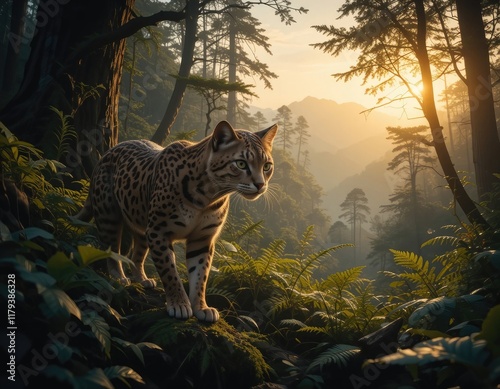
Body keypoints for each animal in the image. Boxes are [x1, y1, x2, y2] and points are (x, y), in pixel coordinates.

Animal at [79, 121, 278, 322]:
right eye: (241, 164)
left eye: (267, 166)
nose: (260, 185)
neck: (208, 195)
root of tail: (107, 153)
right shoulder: (159, 231)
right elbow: (169, 271)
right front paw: (179, 304)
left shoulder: (202, 239)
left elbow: (200, 276)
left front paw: (201, 307)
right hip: (108, 215)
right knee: (112, 249)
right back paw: (119, 277)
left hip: (141, 225)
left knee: (138, 254)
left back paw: (142, 279)